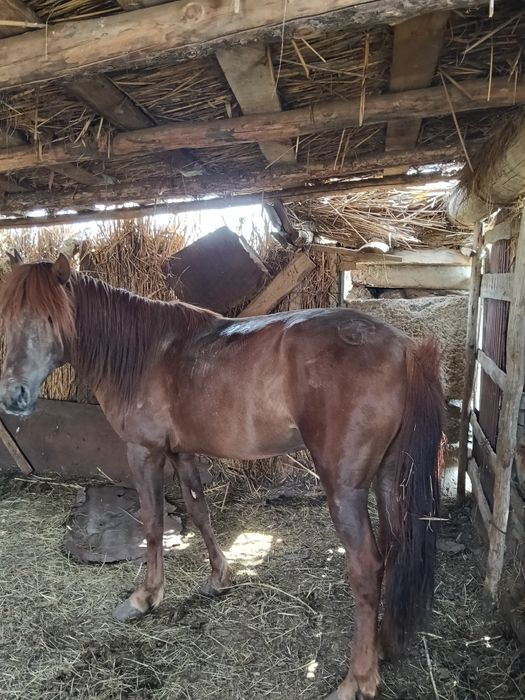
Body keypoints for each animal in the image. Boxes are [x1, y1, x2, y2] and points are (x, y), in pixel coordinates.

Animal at [0, 253, 444, 700]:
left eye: (51, 317)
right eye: (7, 317)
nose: (13, 396)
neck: (147, 354)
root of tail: (403, 348)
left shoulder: (145, 452)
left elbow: (152, 523)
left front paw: (145, 597)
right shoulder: (182, 452)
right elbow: (200, 513)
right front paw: (219, 578)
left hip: (345, 489)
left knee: (366, 567)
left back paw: (358, 679)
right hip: (389, 476)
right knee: (394, 546)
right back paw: (384, 643)